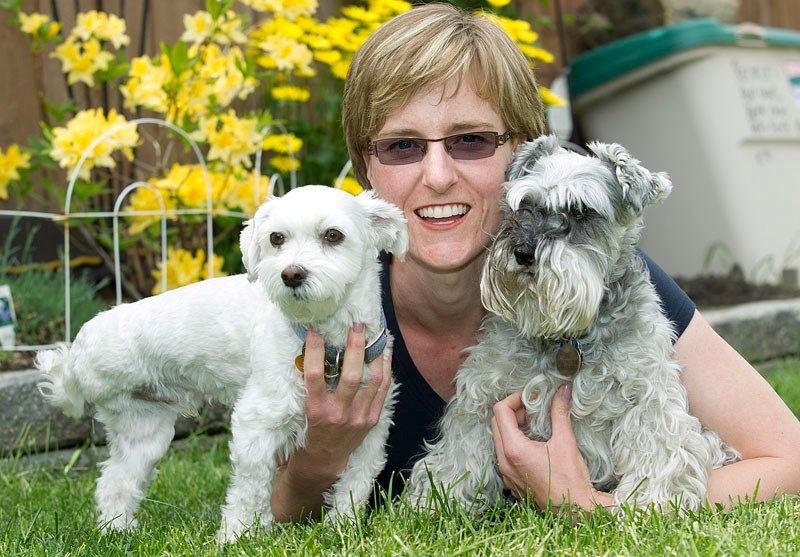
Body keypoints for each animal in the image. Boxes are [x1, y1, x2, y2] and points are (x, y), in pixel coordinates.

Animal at [36, 185, 406, 532]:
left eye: (333, 235)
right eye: (276, 238)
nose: (291, 274)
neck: (329, 340)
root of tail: (80, 349)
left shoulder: (371, 432)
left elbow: (354, 485)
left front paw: (343, 527)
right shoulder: (258, 422)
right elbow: (250, 490)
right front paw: (237, 534)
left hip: (143, 430)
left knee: (115, 483)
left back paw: (117, 531)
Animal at [410, 134, 740, 512]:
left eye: (581, 210)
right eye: (526, 204)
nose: (523, 252)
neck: (564, 336)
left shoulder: (649, 394)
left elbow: (662, 446)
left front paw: (652, 503)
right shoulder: (481, 393)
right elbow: (459, 451)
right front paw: (434, 501)